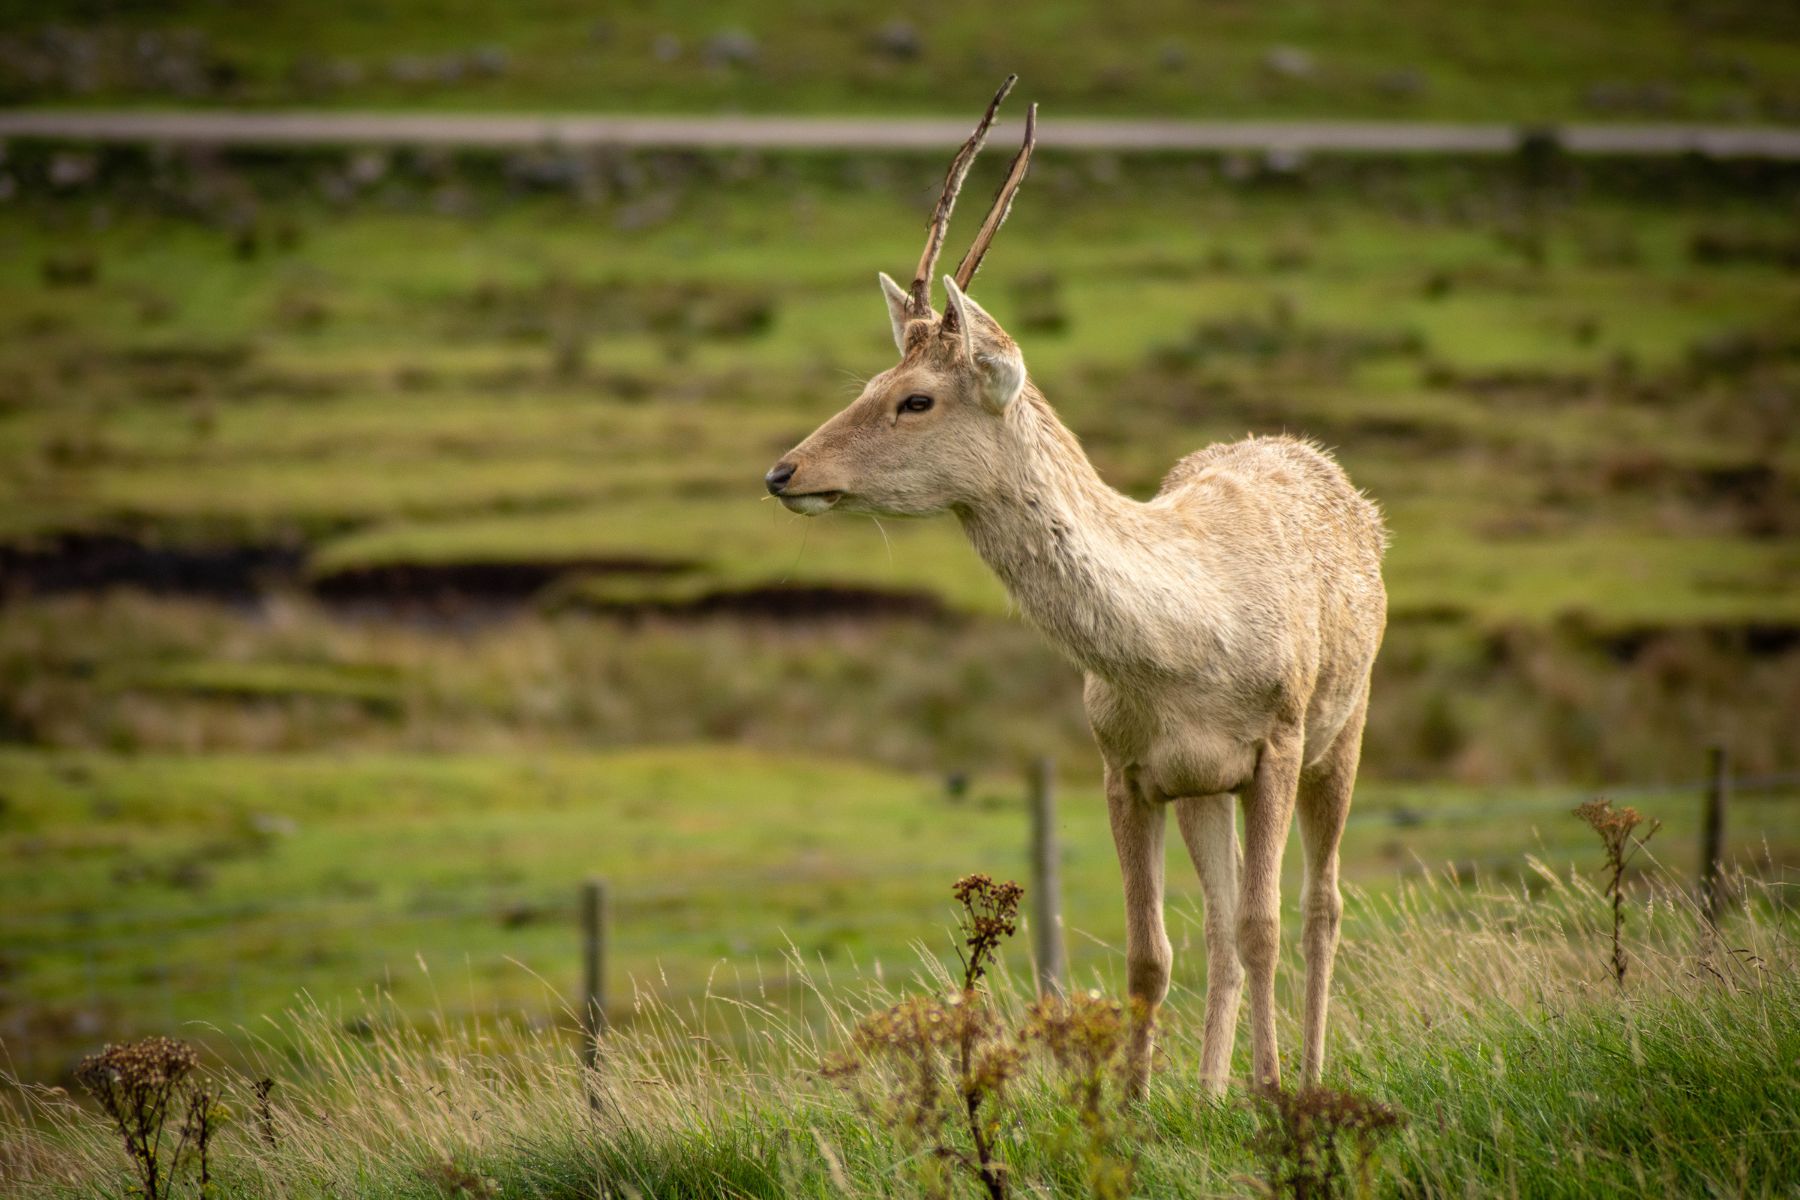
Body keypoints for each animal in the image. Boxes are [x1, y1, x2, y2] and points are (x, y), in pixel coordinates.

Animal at [763, 79, 1389, 1101]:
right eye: (870, 379)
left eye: (915, 398)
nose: (784, 471)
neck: (1184, 651)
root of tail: (1317, 458)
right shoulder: (1123, 767)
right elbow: (1150, 954)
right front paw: (1134, 1107)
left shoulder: (1278, 738)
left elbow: (1264, 926)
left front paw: (1269, 1096)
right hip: (1205, 789)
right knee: (1215, 926)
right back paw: (1208, 1088)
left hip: (1348, 720)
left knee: (1319, 903)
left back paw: (1300, 1073)